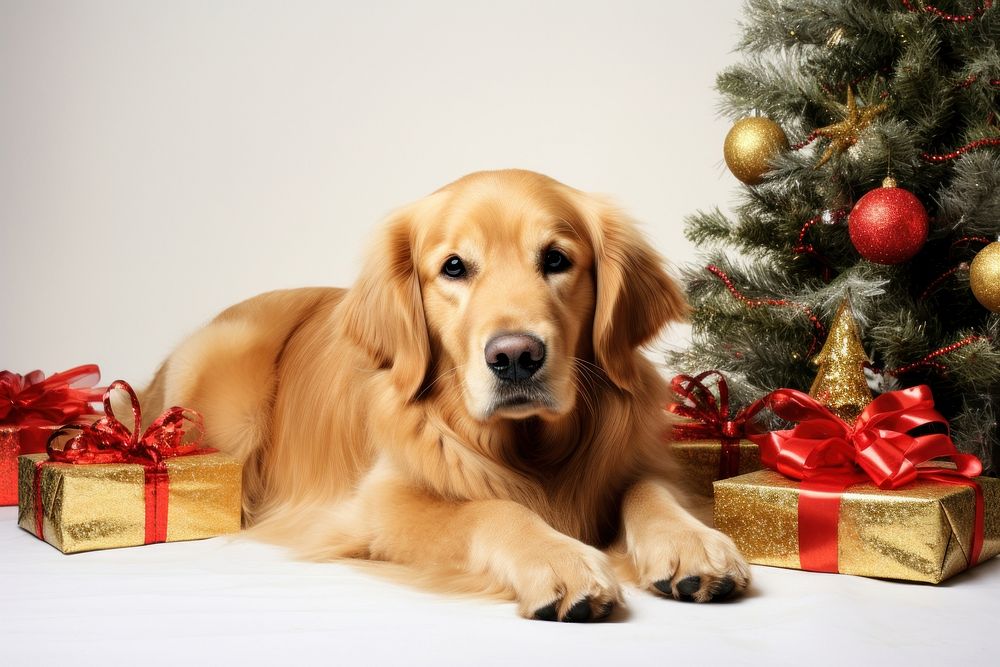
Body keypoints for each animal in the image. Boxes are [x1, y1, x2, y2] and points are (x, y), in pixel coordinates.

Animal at [141, 168, 752, 620]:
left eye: (556, 259)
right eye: (454, 267)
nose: (515, 357)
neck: (530, 446)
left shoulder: (642, 461)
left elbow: (651, 491)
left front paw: (694, 543)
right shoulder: (381, 505)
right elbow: (491, 509)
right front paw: (560, 560)